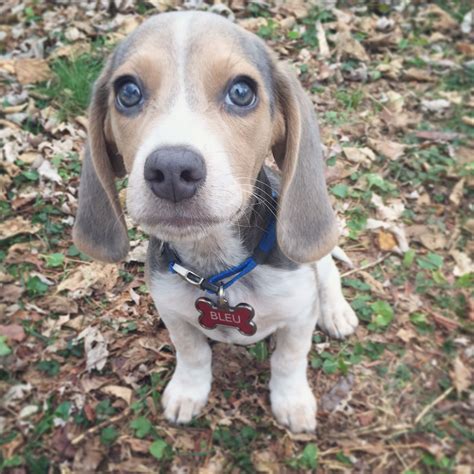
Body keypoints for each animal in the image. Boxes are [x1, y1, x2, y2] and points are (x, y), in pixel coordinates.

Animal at [72, 11, 358, 434]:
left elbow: (289, 359)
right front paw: (189, 392)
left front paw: (292, 401)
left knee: (328, 272)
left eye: (241, 92)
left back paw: (336, 311)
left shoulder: (297, 316)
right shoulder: (174, 314)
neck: (217, 268)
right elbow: (192, 354)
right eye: (128, 92)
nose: (172, 170)